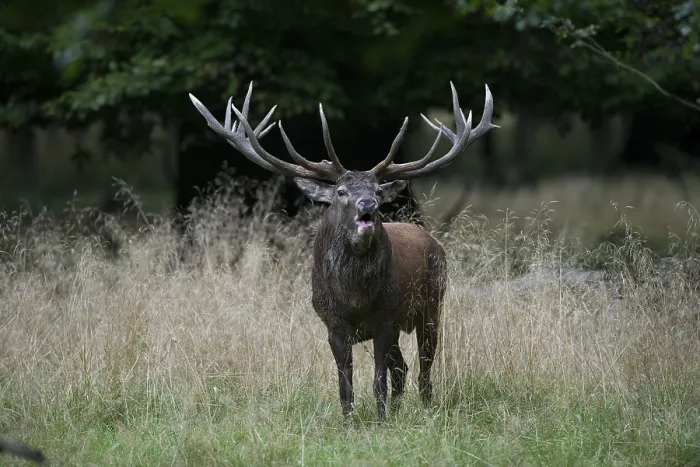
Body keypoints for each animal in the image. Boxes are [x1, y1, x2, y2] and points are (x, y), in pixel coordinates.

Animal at [188, 80, 496, 421]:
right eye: (341, 191)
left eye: (377, 190)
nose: (368, 204)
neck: (355, 297)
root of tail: (431, 240)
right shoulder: (333, 324)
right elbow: (345, 383)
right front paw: (349, 421)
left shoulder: (385, 318)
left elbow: (378, 381)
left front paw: (381, 420)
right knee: (401, 368)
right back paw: (400, 409)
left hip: (432, 304)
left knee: (423, 367)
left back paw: (425, 407)